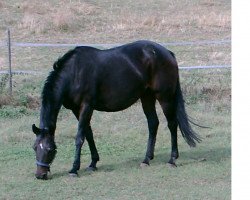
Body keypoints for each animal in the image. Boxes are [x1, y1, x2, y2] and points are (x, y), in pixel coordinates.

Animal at [32, 40, 202, 180]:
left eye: (50, 149)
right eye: (34, 148)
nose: (40, 175)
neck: (75, 72)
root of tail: (168, 53)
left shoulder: (86, 106)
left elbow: (80, 137)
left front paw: (74, 169)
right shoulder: (76, 109)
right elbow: (89, 134)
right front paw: (93, 163)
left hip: (164, 97)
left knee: (172, 124)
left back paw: (172, 159)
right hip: (147, 97)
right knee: (153, 124)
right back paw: (146, 160)